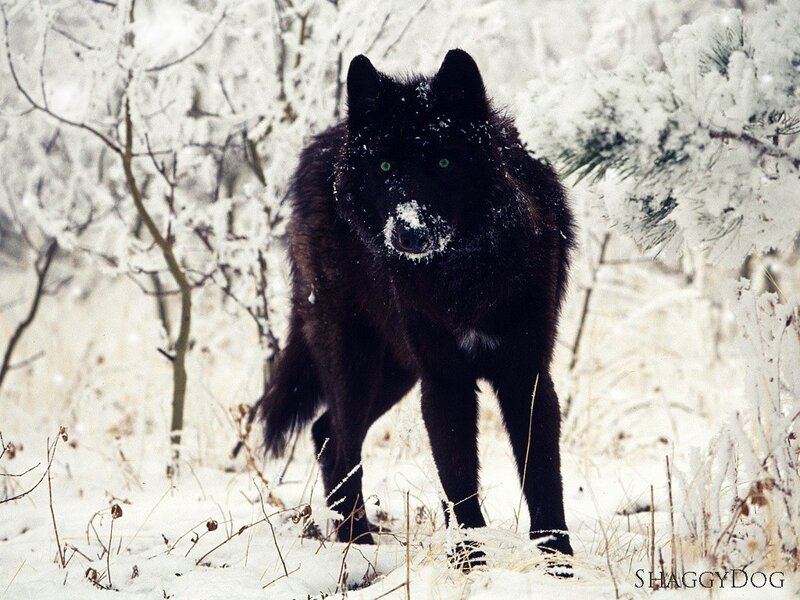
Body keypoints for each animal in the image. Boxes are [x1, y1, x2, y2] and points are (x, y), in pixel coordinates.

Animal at [259, 49, 574, 559]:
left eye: (444, 162)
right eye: (386, 168)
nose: (408, 232)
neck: (462, 277)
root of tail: (322, 144)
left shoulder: (525, 374)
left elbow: (543, 478)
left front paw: (559, 561)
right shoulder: (444, 380)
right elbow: (459, 481)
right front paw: (470, 560)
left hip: (397, 372)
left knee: (325, 432)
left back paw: (356, 541)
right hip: (357, 363)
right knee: (341, 441)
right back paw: (358, 544)